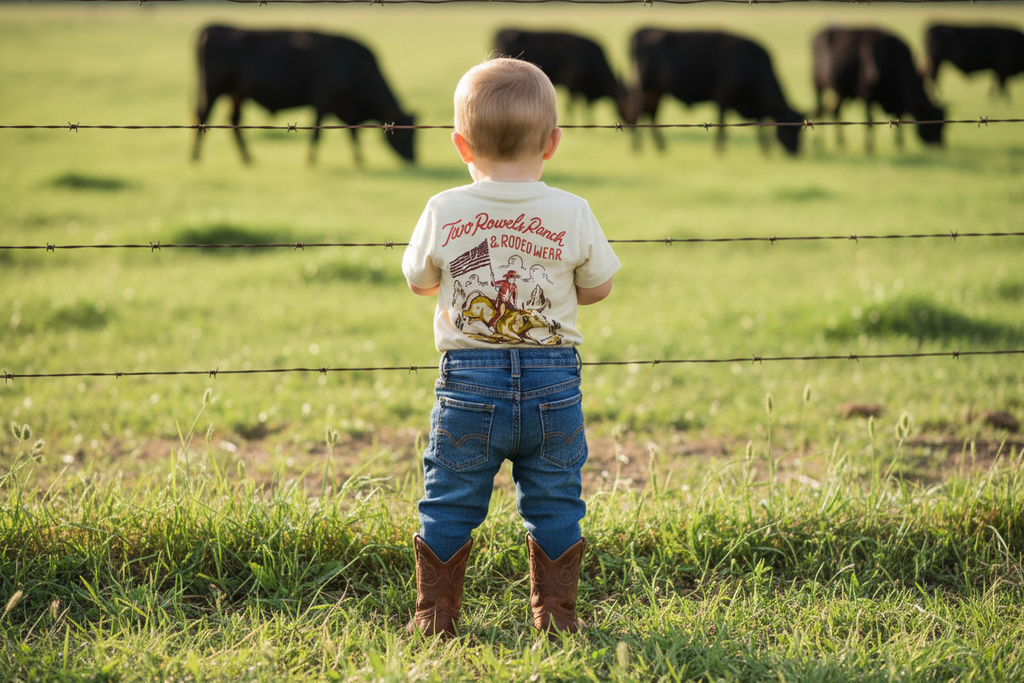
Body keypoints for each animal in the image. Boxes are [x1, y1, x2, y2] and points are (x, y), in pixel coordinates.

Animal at [192, 25, 415, 166]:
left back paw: (247, 158)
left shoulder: (346, 109)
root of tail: (214, 28)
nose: (413, 159)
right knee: (203, 115)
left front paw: (359, 160)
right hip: (212, 89)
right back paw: (195, 158)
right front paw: (311, 160)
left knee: (234, 120)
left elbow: (353, 133)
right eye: (406, 134)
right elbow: (318, 132)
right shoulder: (322, 101)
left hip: (236, 93)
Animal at [493, 29, 630, 122]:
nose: (630, 125)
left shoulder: (580, 89)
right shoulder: (571, 84)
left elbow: (584, 107)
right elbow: (571, 106)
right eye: (626, 104)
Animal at [628, 28, 804, 155]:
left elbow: (759, 124)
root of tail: (642, 31)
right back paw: (637, 147)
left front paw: (765, 150)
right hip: (644, 88)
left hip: (655, 91)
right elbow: (722, 123)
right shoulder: (723, 96)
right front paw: (719, 150)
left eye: (799, 129)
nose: (795, 152)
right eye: (790, 128)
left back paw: (660, 147)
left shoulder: (754, 105)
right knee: (639, 111)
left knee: (651, 113)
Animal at [812, 27, 944, 152]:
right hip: (818, 87)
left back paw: (840, 142)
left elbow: (898, 119)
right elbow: (869, 121)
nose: (941, 145)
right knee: (820, 111)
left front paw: (900, 144)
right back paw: (819, 141)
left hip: (842, 92)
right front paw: (868, 148)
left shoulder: (896, 102)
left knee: (835, 111)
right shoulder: (867, 96)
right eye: (932, 123)